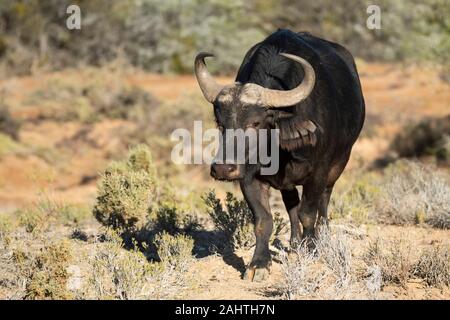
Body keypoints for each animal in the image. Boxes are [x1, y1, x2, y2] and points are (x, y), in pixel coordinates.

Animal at [193, 29, 366, 280]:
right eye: (220, 123)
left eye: (255, 123)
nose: (224, 168)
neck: (277, 150)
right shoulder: (248, 178)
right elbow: (264, 220)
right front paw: (259, 263)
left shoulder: (319, 172)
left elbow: (308, 213)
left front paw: (311, 249)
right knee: (291, 202)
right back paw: (294, 244)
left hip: (339, 163)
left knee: (324, 201)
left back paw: (320, 237)